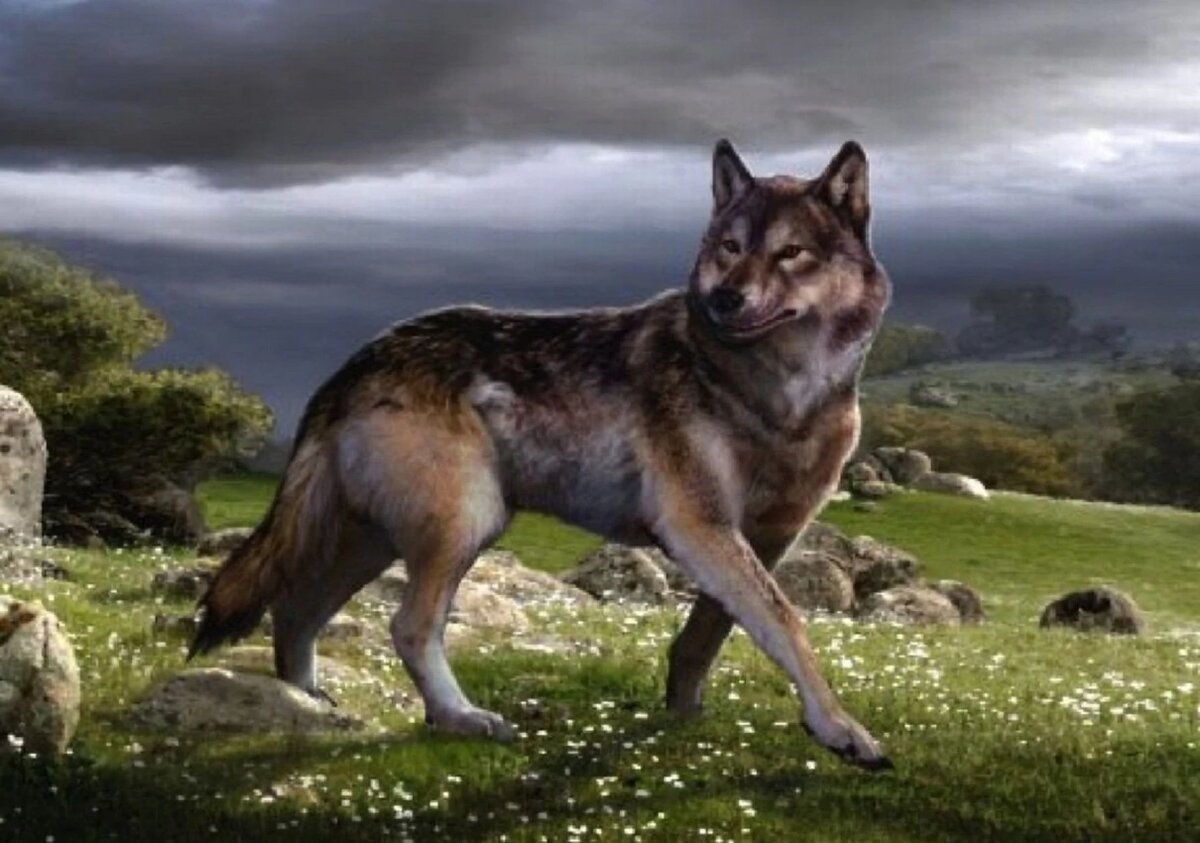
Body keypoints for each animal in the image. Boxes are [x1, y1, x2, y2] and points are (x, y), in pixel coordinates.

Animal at [191, 139, 893, 770]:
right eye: (731, 248)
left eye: (791, 253)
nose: (724, 298)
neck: (778, 394)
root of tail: (354, 363)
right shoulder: (700, 525)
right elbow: (788, 624)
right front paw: (842, 730)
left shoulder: (768, 535)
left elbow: (714, 632)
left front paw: (684, 712)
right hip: (465, 524)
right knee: (405, 627)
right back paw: (459, 718)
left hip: (381, 540)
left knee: (296, 608)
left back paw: (309, 706)